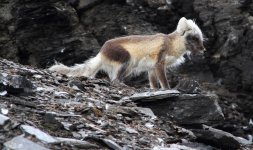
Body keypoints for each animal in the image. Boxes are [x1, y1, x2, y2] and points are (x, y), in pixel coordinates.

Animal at [49, 17, 206, 88]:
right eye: (195, 38)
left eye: (201, 38)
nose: (203, 49)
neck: (173, 45)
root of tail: (100, 53)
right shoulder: (159, 63)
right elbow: (164, 83)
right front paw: (169, 90)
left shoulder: (151, 68)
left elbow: (154, 85)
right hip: (126, 60)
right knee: (114, 79)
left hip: (129, 68)